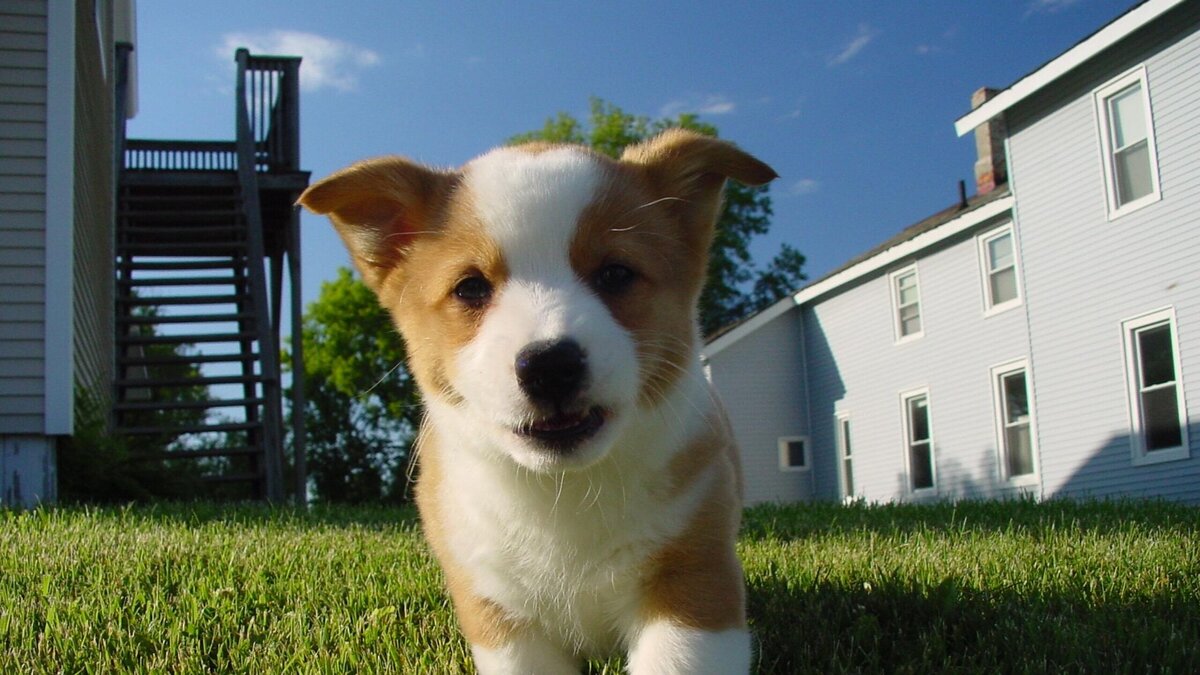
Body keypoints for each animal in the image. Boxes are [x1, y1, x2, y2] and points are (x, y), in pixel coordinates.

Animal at [300, 128, 777, 667]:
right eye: (470, 287)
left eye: (616, 274)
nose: (550, 366)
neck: (563, 491)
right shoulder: (500, 615)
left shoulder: (694, 581)